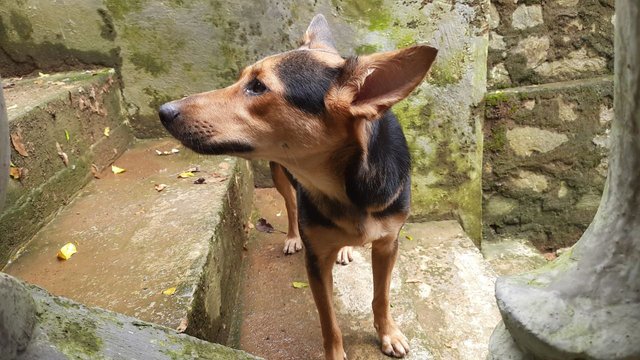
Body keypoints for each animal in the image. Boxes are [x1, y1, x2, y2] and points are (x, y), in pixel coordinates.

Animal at [158, 15, 438, 358]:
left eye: (258, 87)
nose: (164, 111)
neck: (348, 188)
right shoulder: (316, 260)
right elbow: (329, 321)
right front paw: (336, 353)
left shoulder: (388, 244)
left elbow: (381, 297)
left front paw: (389, 333)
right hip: (279, 175)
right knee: (291, 206)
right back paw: (293, 237)